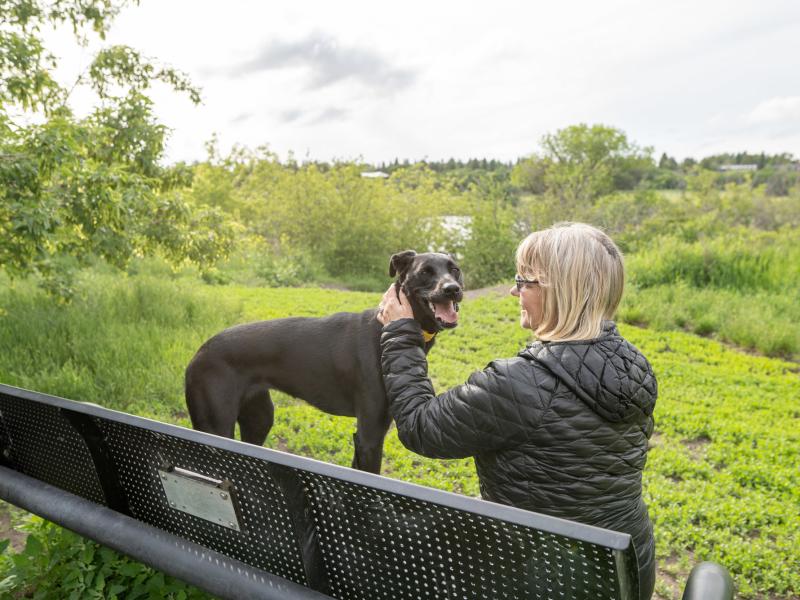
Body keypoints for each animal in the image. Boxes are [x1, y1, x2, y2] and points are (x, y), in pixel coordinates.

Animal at [185, 250, 466, 474]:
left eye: (455, 269)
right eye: (425, 272)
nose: (452, 289)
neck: (386, 327)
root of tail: (200, 352)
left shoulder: (365, 438)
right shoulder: (370, 436)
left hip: (259, 418)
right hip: (216, 428)